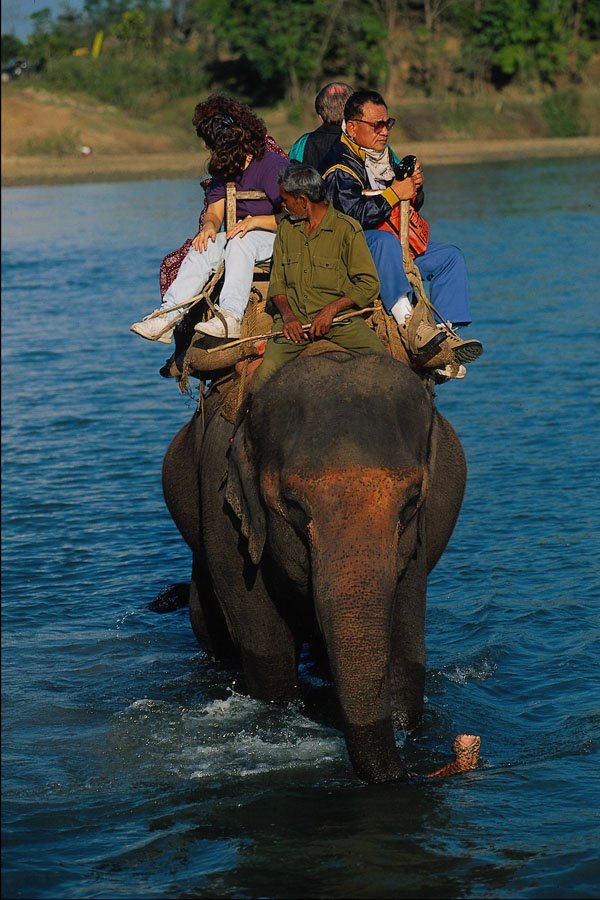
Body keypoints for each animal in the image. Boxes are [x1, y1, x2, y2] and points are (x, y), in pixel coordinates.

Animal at [162, 350, 466, 784]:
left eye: (410, 503)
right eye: (293, 505)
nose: (412, 774)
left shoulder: (414, 540)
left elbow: (407, 637)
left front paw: (406, 728)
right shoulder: (224, 512)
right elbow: (265, 643)